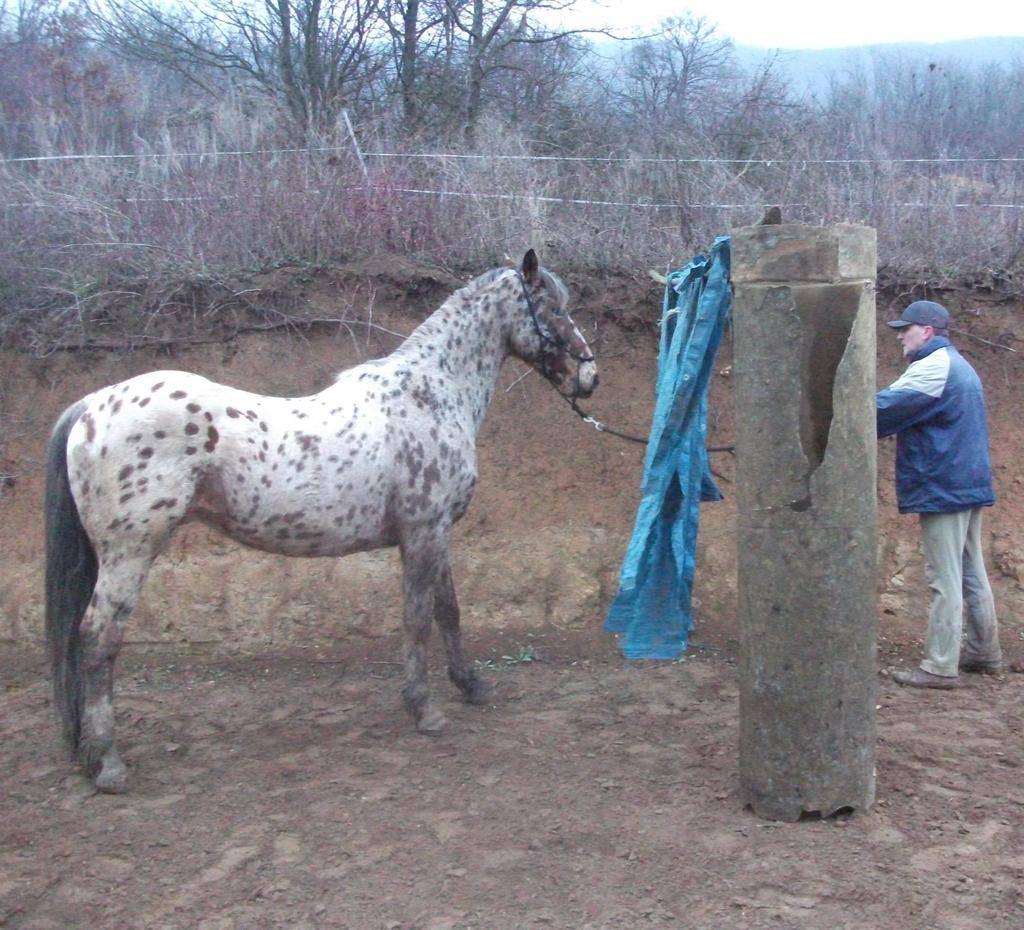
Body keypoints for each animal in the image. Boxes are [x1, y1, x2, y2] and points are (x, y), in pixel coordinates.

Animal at [44, 250, 598, 794]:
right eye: (550, 307)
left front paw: (472, 684)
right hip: (129, 554)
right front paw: (424, 709)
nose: (588, 378)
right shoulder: (423, 533)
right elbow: (418, 618)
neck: (429, 396)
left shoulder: (435, 533)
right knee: (96, 639)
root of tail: (91, 406)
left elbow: (449, 611)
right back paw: (108, 764)